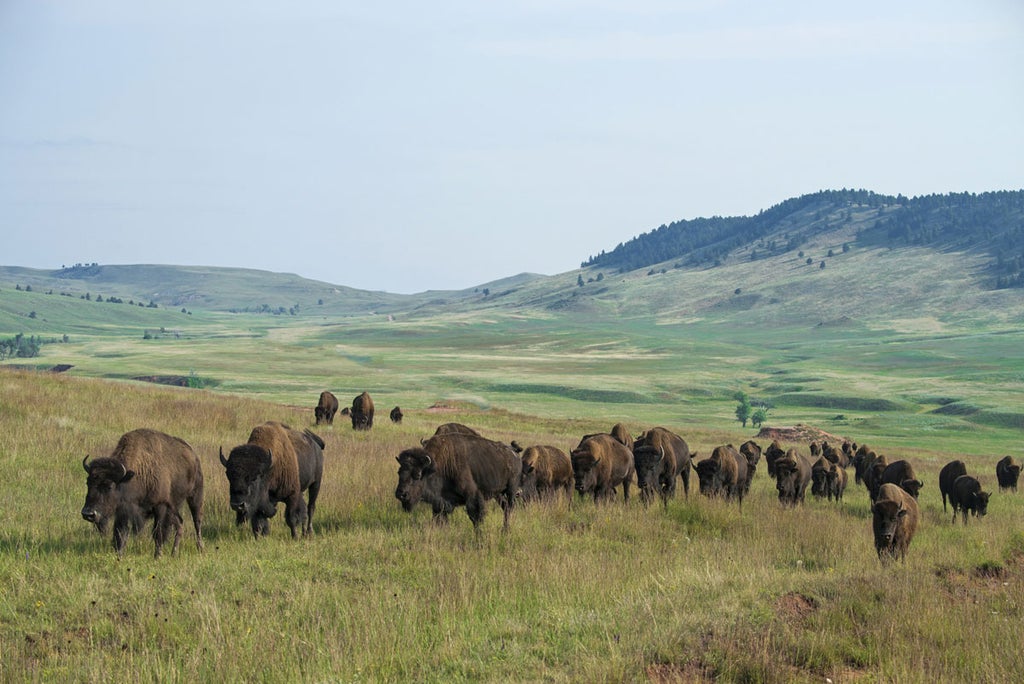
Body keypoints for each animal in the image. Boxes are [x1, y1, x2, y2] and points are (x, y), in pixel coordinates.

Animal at [391, 432, 520, 528]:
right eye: (399, 472)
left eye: (418, 475)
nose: (401, 494)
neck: (436, 466)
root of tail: (513, 453)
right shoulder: (440, 504)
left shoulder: (472, 496)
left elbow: (476, 518)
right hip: (498, 494)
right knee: (505, 507)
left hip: (511, 490)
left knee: (509, 508)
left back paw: (506, 530)